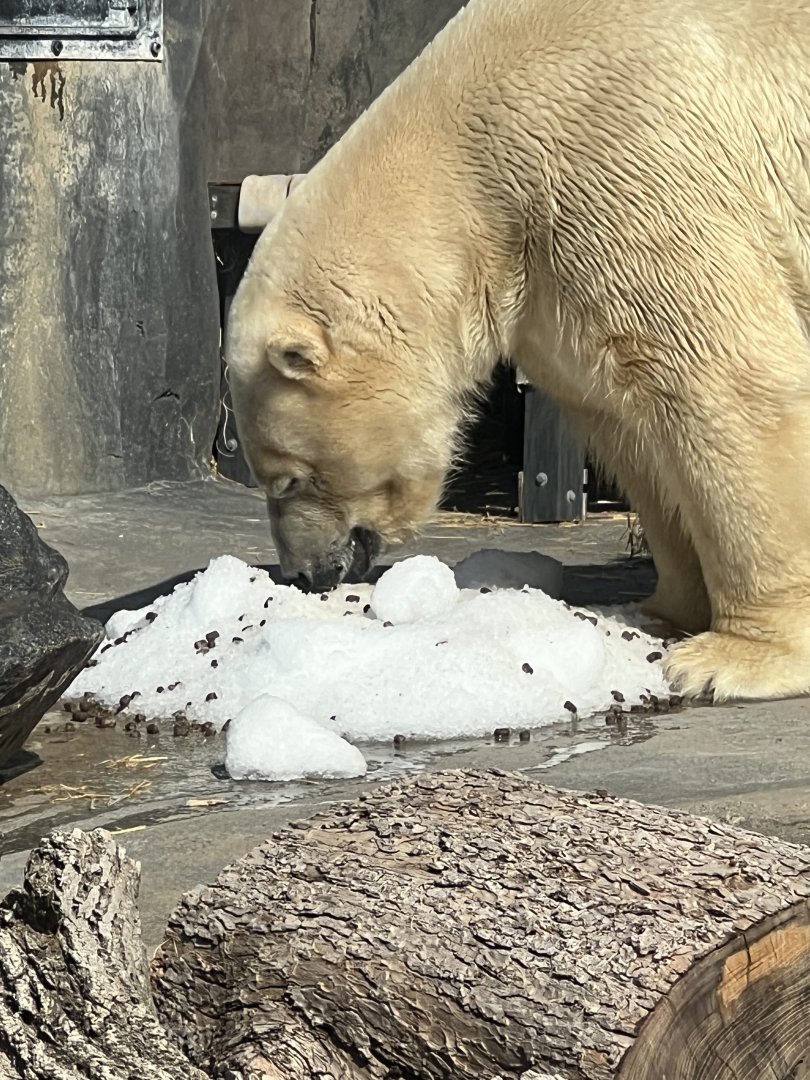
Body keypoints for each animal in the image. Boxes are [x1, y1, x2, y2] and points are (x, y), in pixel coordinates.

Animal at [226, 0, 810, 703]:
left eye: (286, 478)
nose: (304, 572)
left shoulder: (624, 156)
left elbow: (727, 386)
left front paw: (732, 659)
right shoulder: (551, 276)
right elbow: (632, 424)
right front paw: (654, 611)